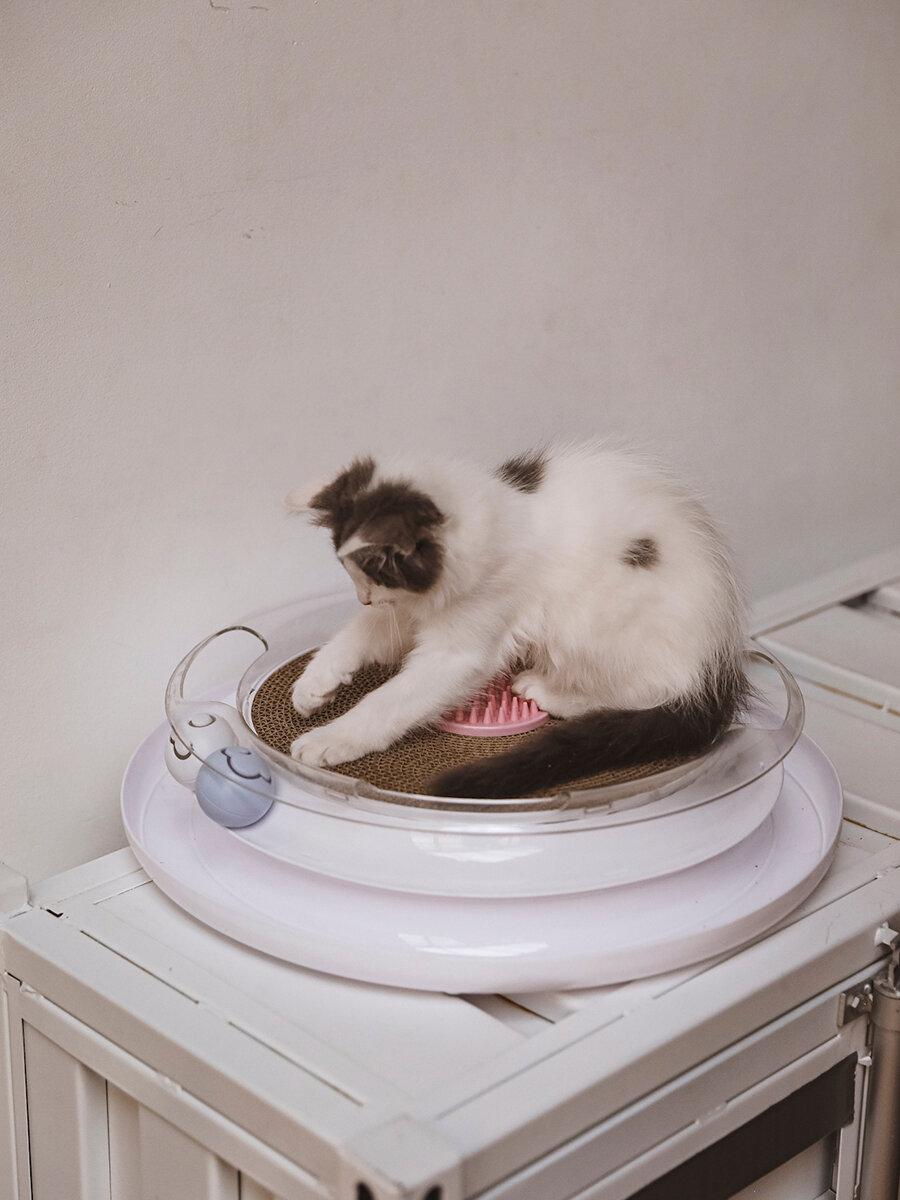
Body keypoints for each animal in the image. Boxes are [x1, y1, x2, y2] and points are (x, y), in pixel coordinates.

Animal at [284, 443, 749, 799]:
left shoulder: (465, 642)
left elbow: (393, 700)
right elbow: (363, 634)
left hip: (587, 614)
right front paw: (315, 683)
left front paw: (331, 738)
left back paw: (549, 691)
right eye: (353, 574)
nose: (362, 598)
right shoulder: (408, 608)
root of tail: (718, 664)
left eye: (372, 571)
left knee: (647, 692)